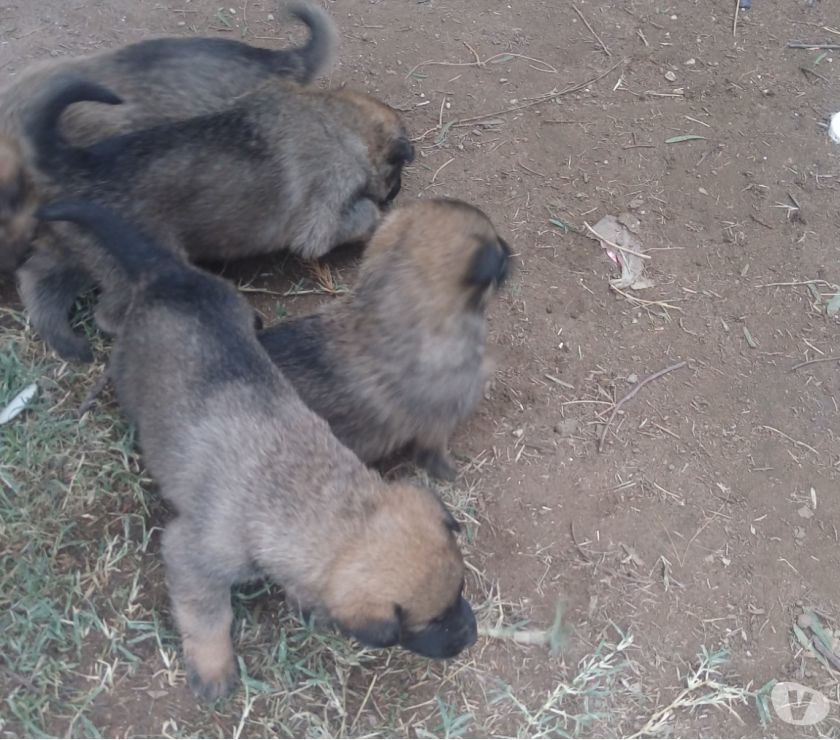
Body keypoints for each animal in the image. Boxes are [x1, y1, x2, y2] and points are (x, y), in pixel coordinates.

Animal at [36, 199, 476, 704]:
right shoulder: (191, 556)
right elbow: (208, 617)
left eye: (461, 590)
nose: (471, 636)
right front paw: (213, 670)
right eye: (429, 622)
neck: (307, 490)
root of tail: (171, 274)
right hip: (129, 375)